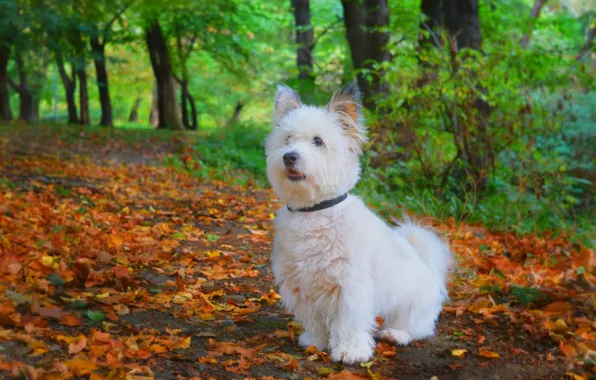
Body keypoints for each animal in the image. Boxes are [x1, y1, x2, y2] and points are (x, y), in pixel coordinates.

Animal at [266, 84, 452, 366]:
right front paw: (316, 340)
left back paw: (396, 333)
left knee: (419, 327)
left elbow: (348, 322)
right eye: (287, 139)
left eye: (318, 141)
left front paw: (350, 351)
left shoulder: (350, 287)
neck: (314, 211)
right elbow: (313, 317)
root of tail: (430, 269)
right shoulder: (301, 284)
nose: (289, 157)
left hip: (412, 306)